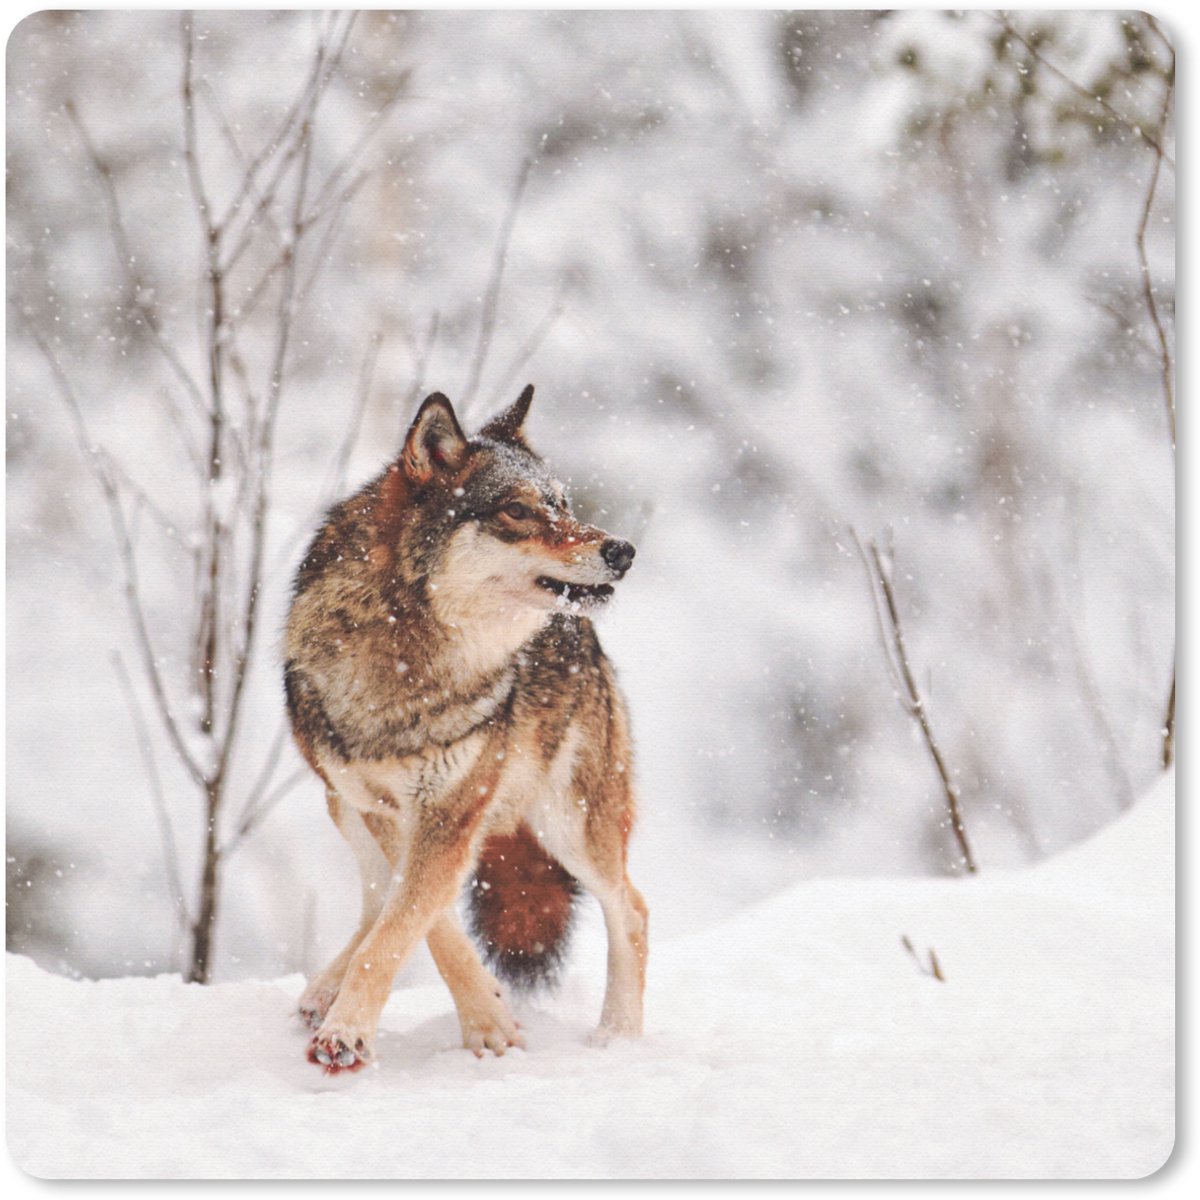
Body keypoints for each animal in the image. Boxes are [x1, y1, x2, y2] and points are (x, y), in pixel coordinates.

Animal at [283, 385, 647, 1072]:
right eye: (517, 511)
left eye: (563, 504)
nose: (622, 550)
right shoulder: (385, 808)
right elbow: (419, 921)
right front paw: (488, 1017)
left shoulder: (451, 810)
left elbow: (405, 924)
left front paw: (351, 1033)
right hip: (340, 804)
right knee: (375, 896)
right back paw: (321, 991)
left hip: (570, 825)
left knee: (632, 911)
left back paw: (618, 1038)